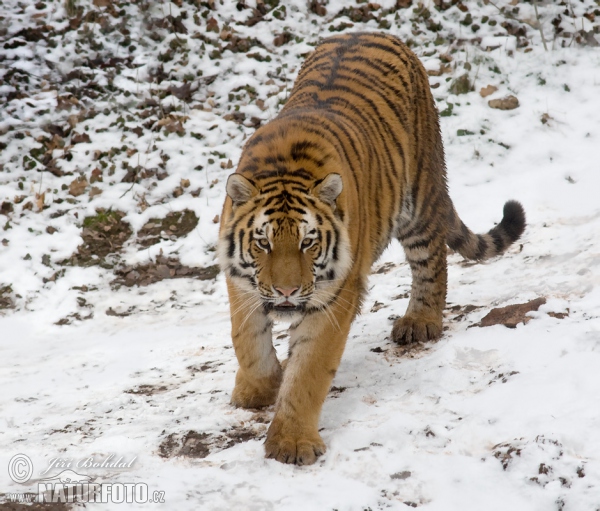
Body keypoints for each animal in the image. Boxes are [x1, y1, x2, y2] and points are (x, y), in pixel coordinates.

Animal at [217, 31, 524, 464]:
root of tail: (371, 32)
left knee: (432, 263)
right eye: (263, 243)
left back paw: (420, 322)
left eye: (308, 243)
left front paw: (291, 441)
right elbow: (247, 340)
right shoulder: (242, 283)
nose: (286, 291)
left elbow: (309, 371)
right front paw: (258, 388)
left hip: (419, 200)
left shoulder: (332, 297)